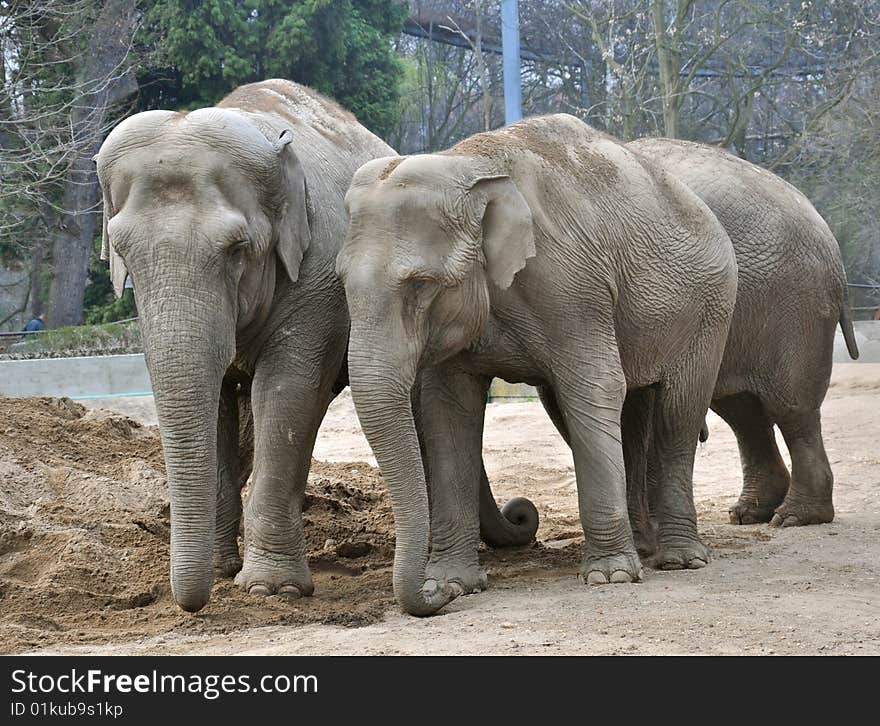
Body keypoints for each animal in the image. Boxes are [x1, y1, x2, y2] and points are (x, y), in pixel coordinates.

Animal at [94, 79, 394, 616]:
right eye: (122, 252)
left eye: (237, 250)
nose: (190, 606)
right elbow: (211, 404)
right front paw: (221, 573)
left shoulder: (318, 275)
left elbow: (285, 391)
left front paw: (270, 590)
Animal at [336, 114, 736, 616]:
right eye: (340, 281)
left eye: (422, 284)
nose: (434, 597)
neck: (470, 167)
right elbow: (447, 411)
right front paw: (454, 582)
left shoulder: (573, 287)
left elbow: (596, 387)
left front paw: (609, 577)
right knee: (631, 414)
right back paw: (645, 548)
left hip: (711, 311)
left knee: (677, 416)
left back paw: (679, 560)